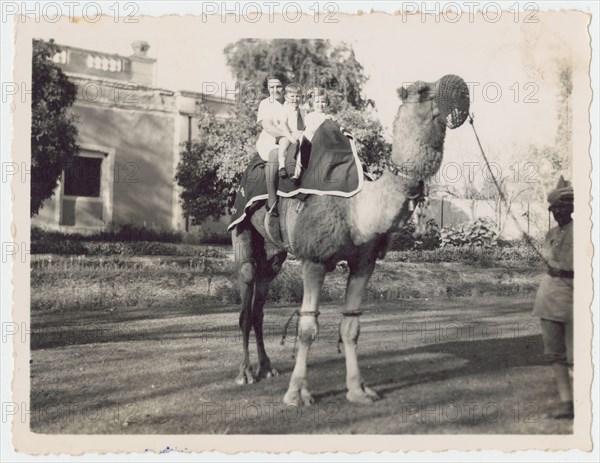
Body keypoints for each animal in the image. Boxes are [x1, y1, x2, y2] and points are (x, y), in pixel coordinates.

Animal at [230, 75, 468, 406]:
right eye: (421, 90)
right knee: (246, 289)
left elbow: (351, 326)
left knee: (260, 303)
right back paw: (245, 373)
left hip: (274, 252)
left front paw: (358, 390)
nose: (458, 86)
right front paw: (297, 393)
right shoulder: (315, 259)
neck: (358, 206)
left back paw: (267, 367)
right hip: (241, 227)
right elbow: (308, 327)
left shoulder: (363, 263)